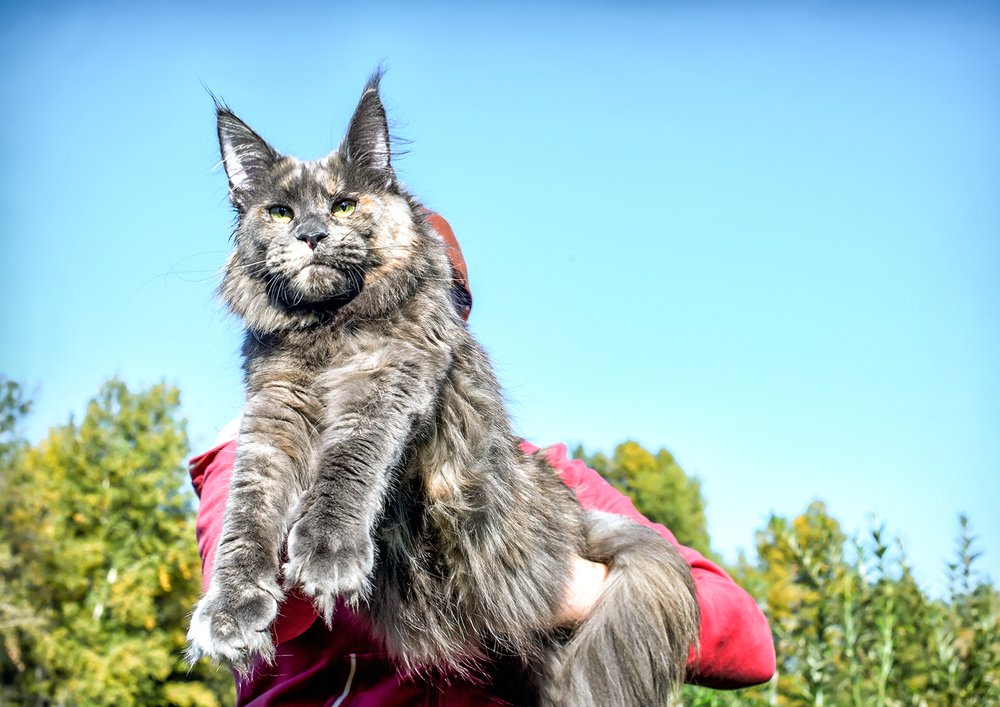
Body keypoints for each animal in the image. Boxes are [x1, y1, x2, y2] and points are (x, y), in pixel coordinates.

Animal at [188, 73, 700, 707]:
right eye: (280, 212)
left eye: (344, 204)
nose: (311, 234)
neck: (328, 331)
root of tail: (572, 518)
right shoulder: (274, 414)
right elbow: (247, 515)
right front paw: (230, 611)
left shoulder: (387, 380)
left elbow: (345, 469)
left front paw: (328, 552)